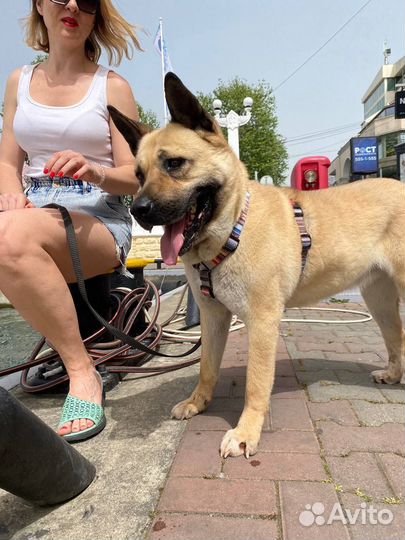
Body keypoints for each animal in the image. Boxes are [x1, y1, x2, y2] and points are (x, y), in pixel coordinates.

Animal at [107, 73, 404, 460]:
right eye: (139, 175)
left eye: (174, 163)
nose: (139, 210)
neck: (232, 230)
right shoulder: (214, 317)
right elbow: (206, 368)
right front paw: (198, 402)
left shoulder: (263, 322)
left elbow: (255, 384)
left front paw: (246, 431)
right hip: (379, 299)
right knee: (396, 337)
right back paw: (393, 374)